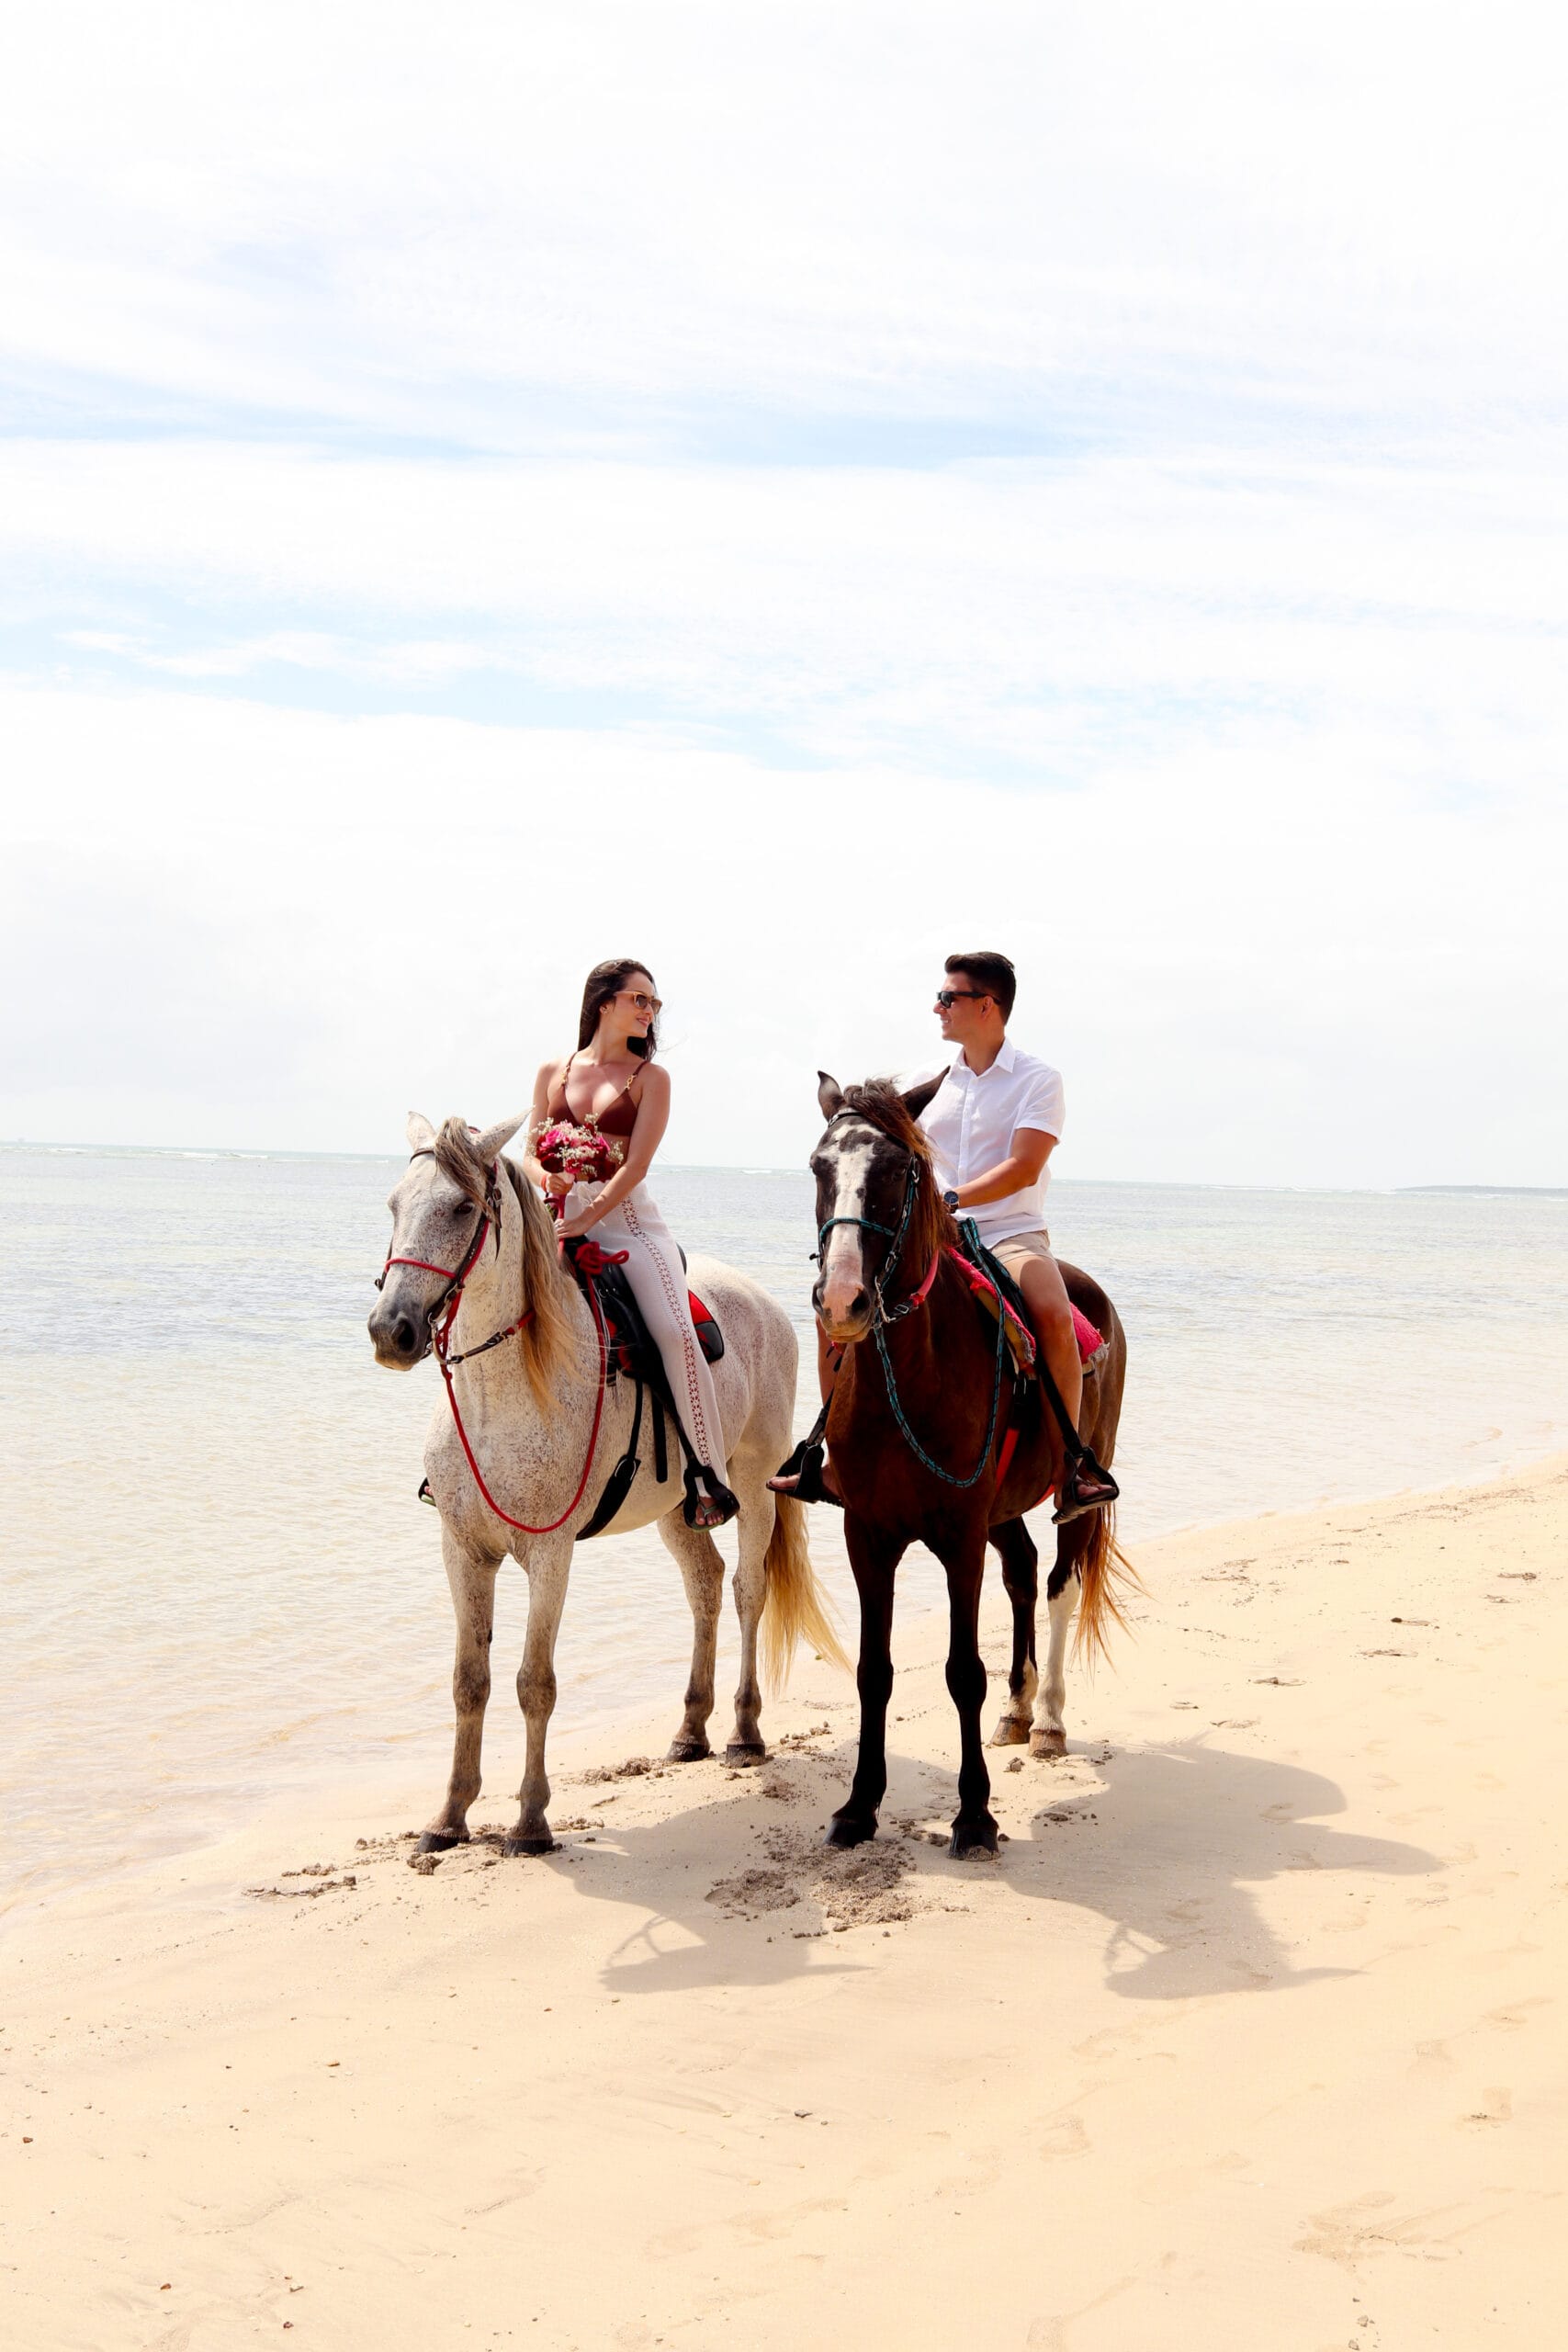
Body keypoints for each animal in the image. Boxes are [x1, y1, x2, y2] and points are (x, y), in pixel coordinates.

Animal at [368, 1111, 845, 1856]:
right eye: (394, 1205)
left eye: (462, 1209)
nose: (392, 1331)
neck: (502, 1393)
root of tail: (762, 1302)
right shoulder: (464, 1551)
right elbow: (469, 1682)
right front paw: (449, 1816)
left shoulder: (549, 1554)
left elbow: (533, 1683)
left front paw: (530, 1822)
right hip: (680, 1508)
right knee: (705, 1586)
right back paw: (690, 1730)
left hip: (751, 1483)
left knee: (747, 1591)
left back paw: (743, 1732)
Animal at [809, 1073, 1133, 1856]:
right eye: (818, 1168)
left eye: (899, 1171)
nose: (842, 1301)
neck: (912, 1375)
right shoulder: (867, 1536)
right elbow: (873, 1671)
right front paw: (858, 1807)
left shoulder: (958, 1536)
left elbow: (962, 1672)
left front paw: (975, 1815)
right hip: (1000, 1509)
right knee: (1021, 1570)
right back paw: (1018, 1711)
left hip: (1077, 1491)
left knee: (1058, 1582)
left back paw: (1046, 1719)